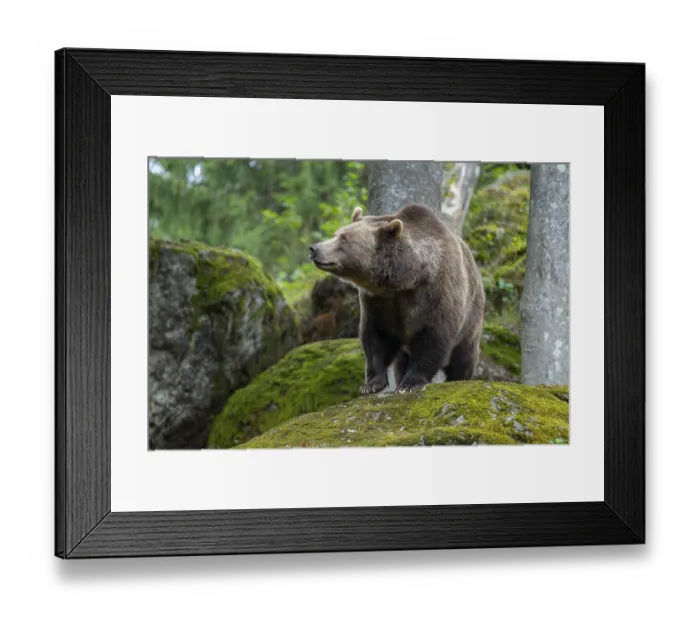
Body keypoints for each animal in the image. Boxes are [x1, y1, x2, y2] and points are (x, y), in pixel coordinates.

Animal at [309, 203, 485, 393]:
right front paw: (371, 384)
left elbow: (434, 336)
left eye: (344, 239)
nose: (314, 248)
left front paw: (410, 383)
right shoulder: (379, 302)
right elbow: (376, 338)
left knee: (464, 356)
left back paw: (458, 378)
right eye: (336, 234)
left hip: (472, 318)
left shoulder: (437, 292)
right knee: (400, 362)